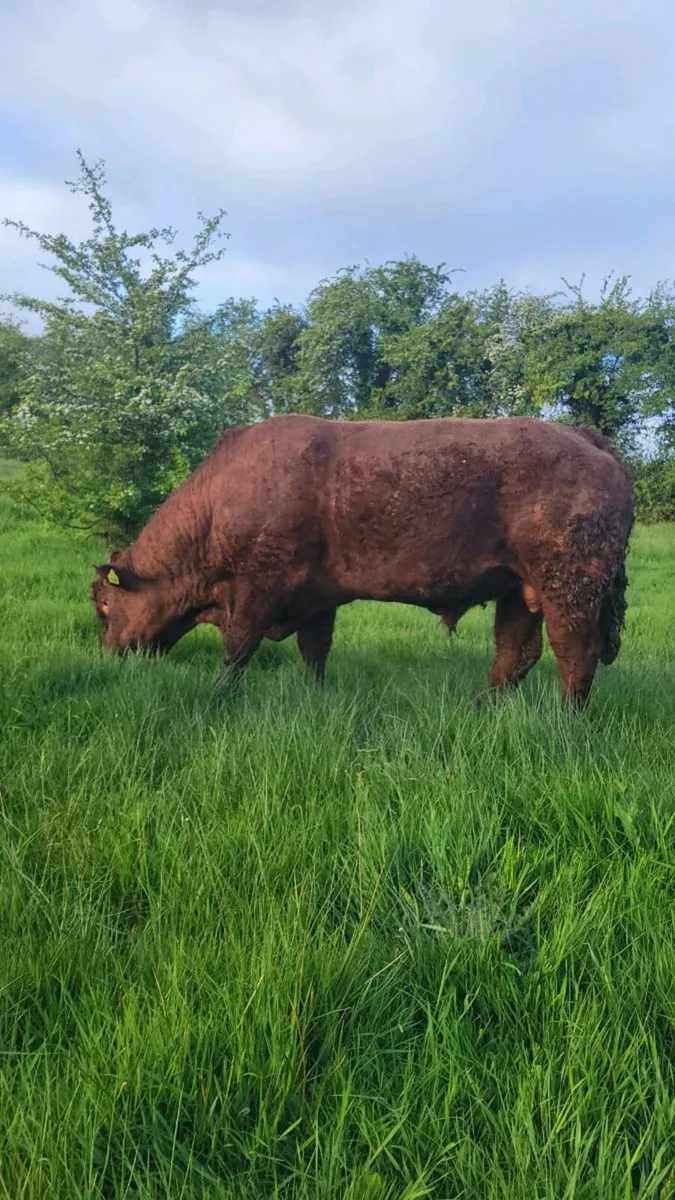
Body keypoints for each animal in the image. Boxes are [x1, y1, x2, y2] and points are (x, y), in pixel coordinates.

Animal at [90, 413, 634, 707]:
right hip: (517, 592)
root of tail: (588, 439)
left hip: (567, 589)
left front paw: (217, 694)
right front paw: (314, 696)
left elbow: (237, 650)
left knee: (574, 654)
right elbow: (313, 652)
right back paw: (479, 708)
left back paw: (564, 719)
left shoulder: (256, 590)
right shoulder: (315, 600)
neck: (220, 500)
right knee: (515, 655)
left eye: (104, 607)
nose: (110, 654)